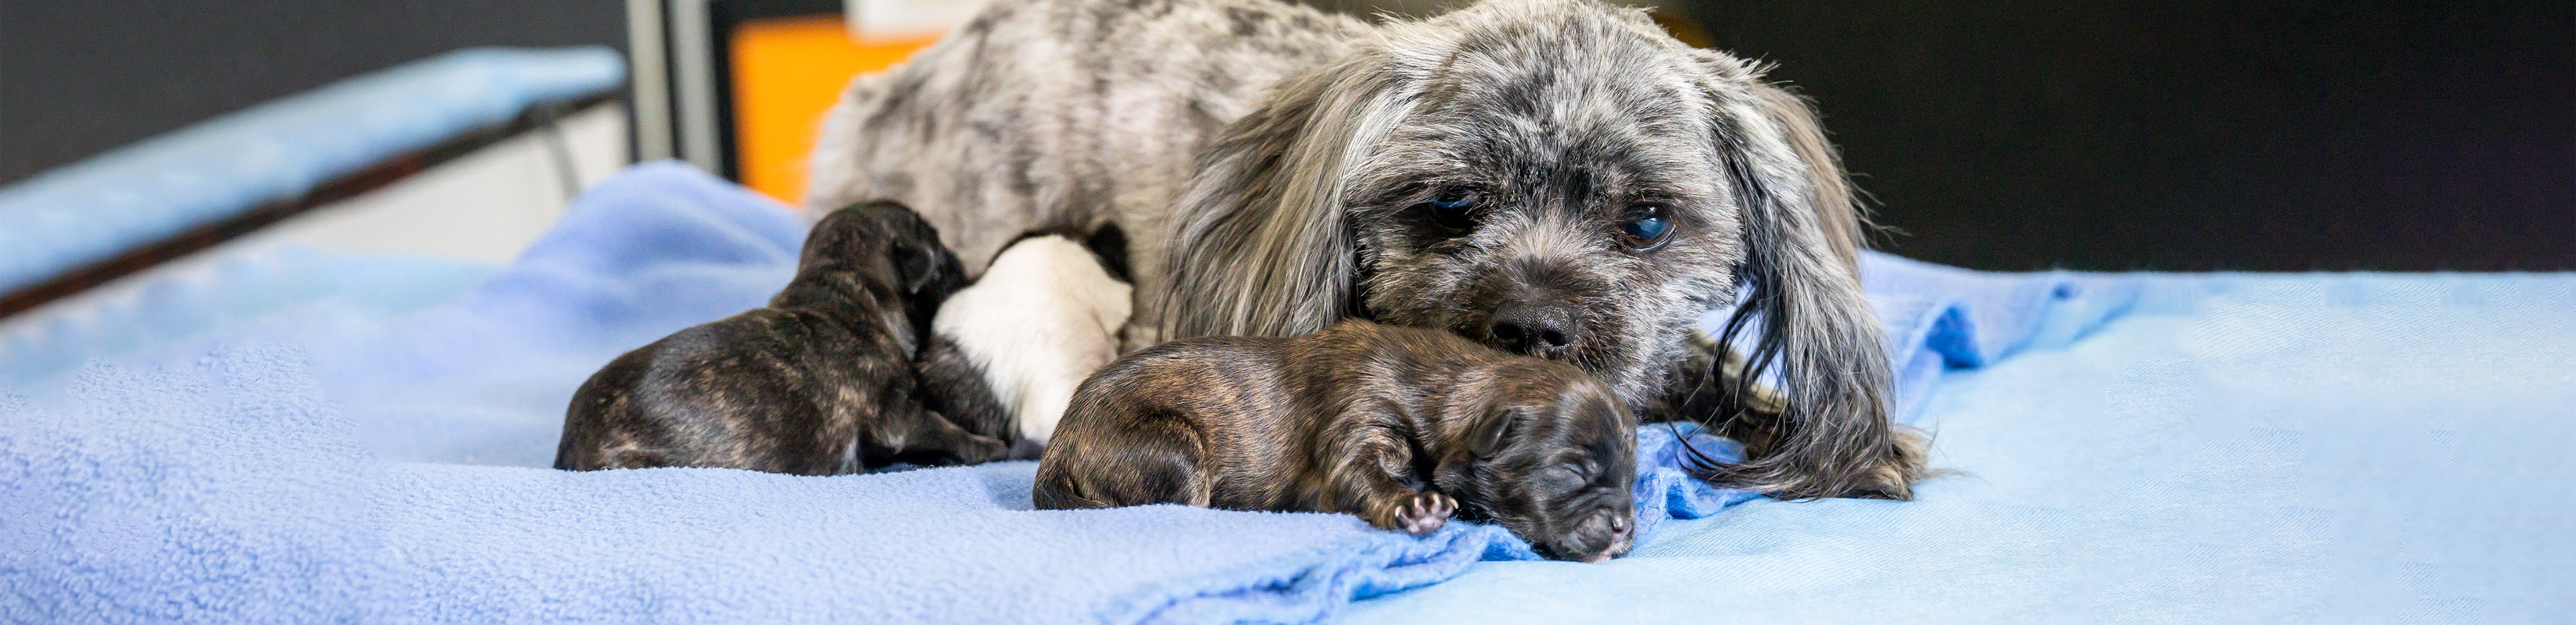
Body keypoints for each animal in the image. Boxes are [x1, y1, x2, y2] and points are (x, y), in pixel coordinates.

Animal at [554, 201, 1014, 474]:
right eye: (944, 260)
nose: (968, 269)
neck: (842, 281)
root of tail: (567, 448)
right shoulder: (898, 416)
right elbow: (945, 429)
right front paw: (989, 447)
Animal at [1034, 320, 1637, 562]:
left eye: (1633, 479)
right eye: (1574, 471)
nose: (1625, 527)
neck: (1448, 390)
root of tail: (1058, 447)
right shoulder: (1358, 429)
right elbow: (1364, 476)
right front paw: (1415, 507)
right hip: (1173, 446)